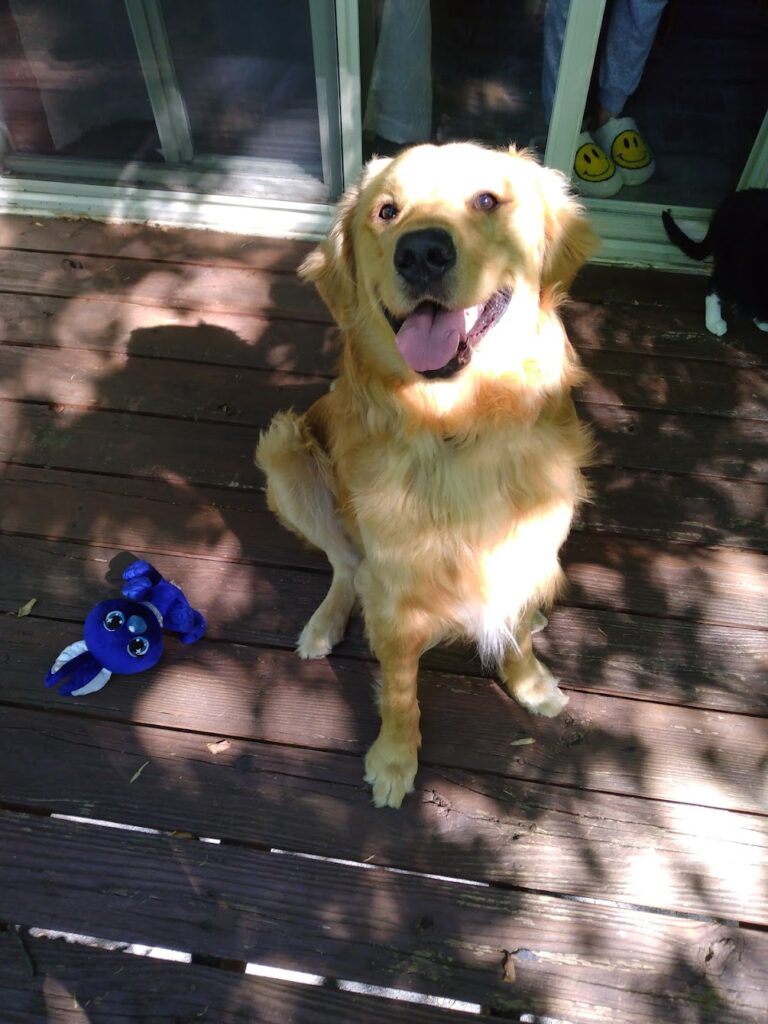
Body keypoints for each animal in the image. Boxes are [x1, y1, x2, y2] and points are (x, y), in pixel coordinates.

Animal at [256, 142, 598, 806]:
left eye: (487, 200)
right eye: (387, 211)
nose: (420, 252)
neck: (457, 422)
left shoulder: (530, 542)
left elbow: (516, 628)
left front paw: (530, 681)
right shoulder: (395, 592)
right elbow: (400, 689)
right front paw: (394, 760)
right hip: (284, 450)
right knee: (345, 565)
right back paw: (324, 624)